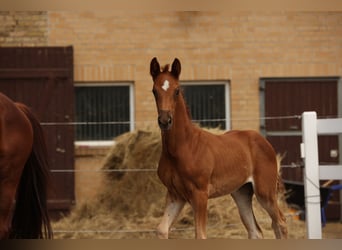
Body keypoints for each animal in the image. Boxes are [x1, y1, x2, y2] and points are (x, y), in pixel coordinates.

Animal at [151, 57, 288, 239]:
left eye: (177, 90)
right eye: (154, 91)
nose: (165, 121)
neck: (183, 147)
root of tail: (265, 142)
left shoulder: (200, 194)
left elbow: (200, 235)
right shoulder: (175, 195)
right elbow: (161, 230)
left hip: (265, 191)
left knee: (280, 223)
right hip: (241, 192)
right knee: (255, 231)